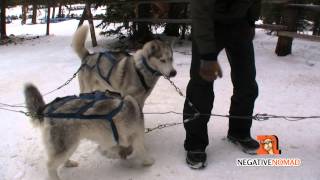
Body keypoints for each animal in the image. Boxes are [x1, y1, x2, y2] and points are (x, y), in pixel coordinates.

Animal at [24, 83, 154, 180]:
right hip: (66, 145)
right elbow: (141, 151)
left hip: (70, 145)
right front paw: (149, 162)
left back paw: (69, 163)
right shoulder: (135, 136)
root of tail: (46, 109)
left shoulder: (109, 139)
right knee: (50, 165)